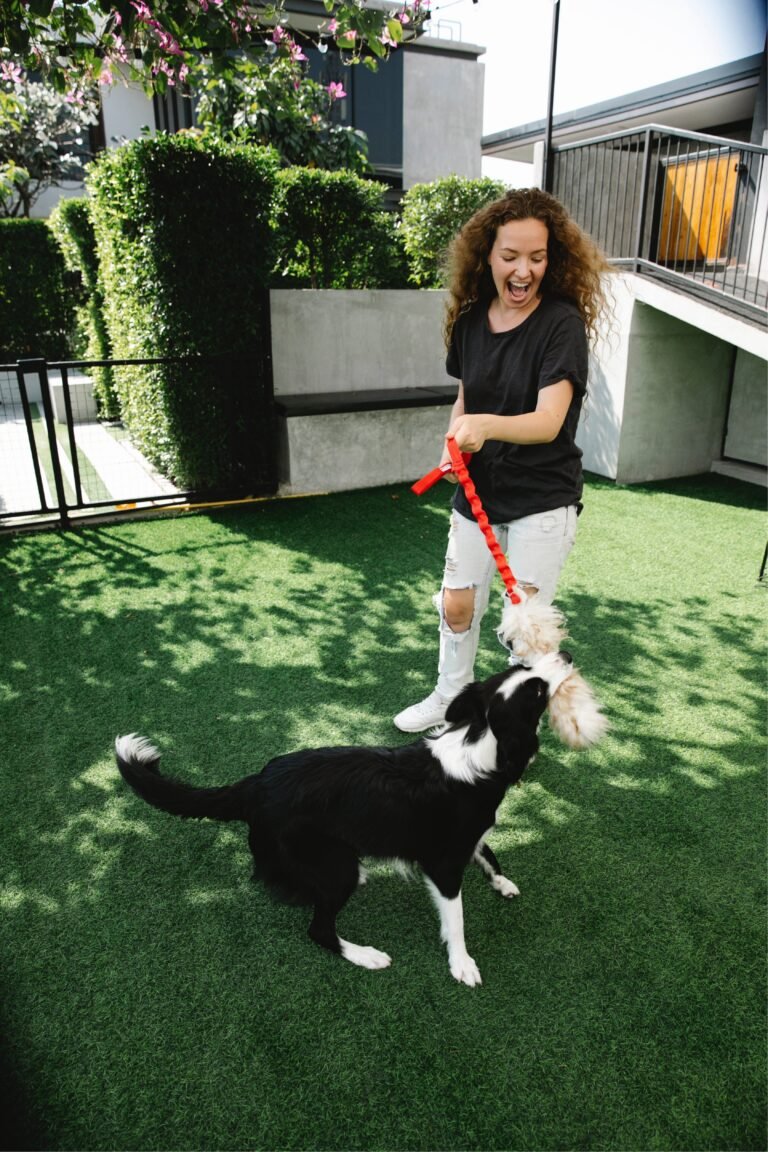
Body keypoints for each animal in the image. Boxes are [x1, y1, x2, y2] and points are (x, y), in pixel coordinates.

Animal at [115, 654, 575, 986]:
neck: (479, 742)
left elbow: (488, 851)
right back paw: (365, 954)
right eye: (536, 688)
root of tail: (256, 783)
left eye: (524, 669)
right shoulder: (443, 864)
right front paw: (461, 963)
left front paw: (502, 882)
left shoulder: (467, 838)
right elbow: (456, 919)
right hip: (335, 869)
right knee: (316, 926)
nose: (567, 654)